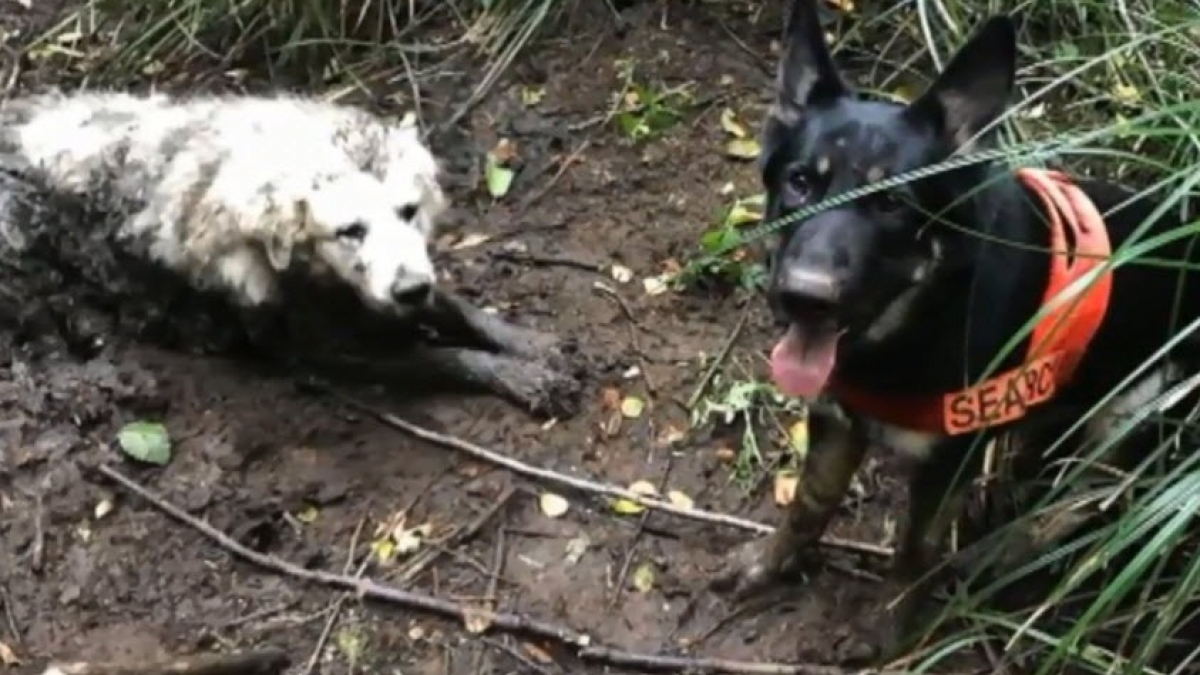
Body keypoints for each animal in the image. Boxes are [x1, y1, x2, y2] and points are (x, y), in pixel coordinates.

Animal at [0, 89, 580, 415]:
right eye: (349, 229)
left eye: (409, 210)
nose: (410, 289)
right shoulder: (319, 348)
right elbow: (438, 357)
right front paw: (518, 375)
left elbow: (456, 308)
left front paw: (529, 343)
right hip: (16, 248)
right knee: (31, 346)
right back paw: (84, 383)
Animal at [715, 0, 1195, 662]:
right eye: (800, 182)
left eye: (892, 204)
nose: (803, 299)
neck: (913, 324)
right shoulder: (837, 419)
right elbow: (810, 505)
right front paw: (769, 562)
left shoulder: (947, 461)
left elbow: (913, 552)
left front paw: (889, 634)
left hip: (1137, 407)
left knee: (1097, 496)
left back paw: (1004, 548)